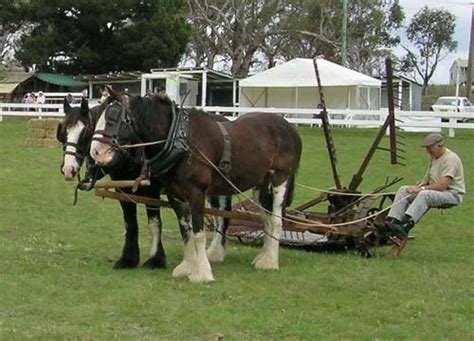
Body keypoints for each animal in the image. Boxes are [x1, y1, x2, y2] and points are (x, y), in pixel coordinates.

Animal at [90, 93, 302, 282]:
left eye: (112, 118)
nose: (96, 153)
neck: (180, 140)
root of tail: (289, 128)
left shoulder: (196, 193)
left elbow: (198, 233)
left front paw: (202, 273)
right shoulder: (175, 195)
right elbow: (186, 232)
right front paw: (187, 267)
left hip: (280, 179)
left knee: (276, 220)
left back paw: (270, 261)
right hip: (260, 185)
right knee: (265, 219)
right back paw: (264, 256)